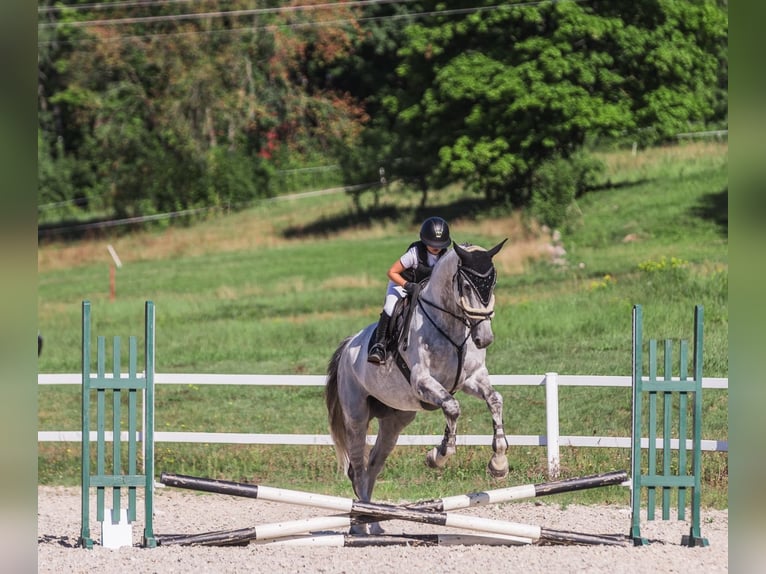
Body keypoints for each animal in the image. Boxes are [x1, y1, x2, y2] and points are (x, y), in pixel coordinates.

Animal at [324, 240, 510, 536]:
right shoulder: (423, 382)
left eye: (492, 284)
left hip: (395, 420)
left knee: (373, 466)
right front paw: (439, 456)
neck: (452, 326)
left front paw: (499, 464)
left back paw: (374, 523)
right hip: (356, 416)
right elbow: (452, 407)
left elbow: (495, 400)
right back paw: (359, 526)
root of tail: (348, 345)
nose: (484, 339)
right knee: (359, 468)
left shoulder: (472, 379)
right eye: (466, 285)